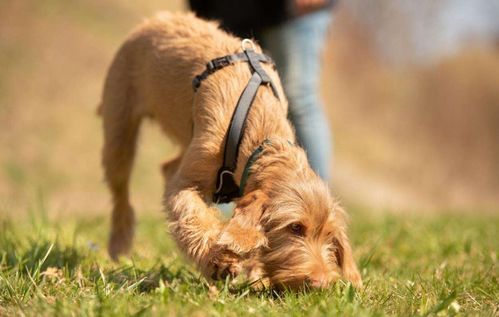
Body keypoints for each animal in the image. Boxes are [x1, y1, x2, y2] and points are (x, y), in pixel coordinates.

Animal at [99, 11, 362, 288]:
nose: (320, 283)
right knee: (121, 189)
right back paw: (119, 242)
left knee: (167, 166)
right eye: (295, 227)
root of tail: (158, 18)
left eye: (328, 234)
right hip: (119, 127)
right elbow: (193, 217)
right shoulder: (184, 184)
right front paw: (217, 261)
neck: (262, 137)